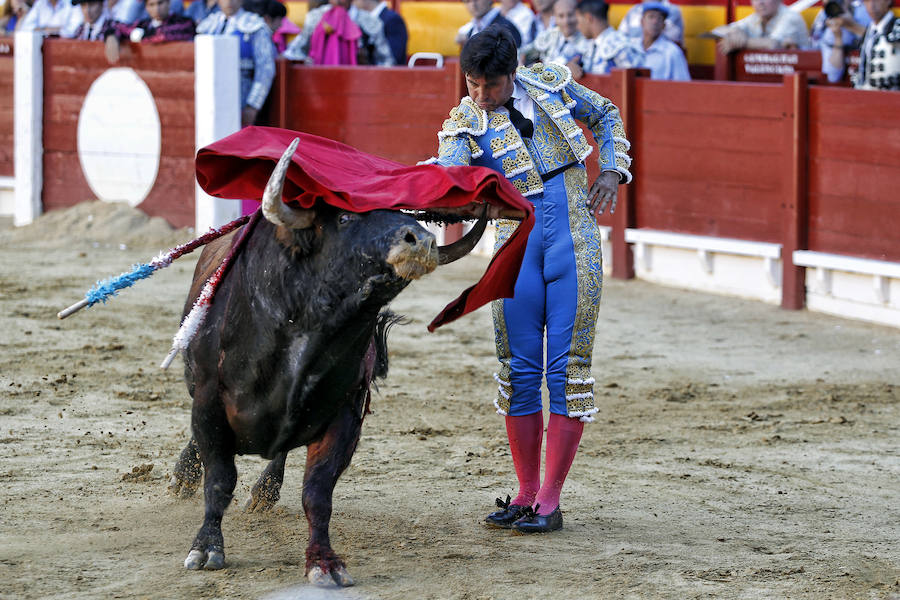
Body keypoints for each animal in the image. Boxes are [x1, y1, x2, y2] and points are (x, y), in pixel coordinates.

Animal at [161, 141, 486, 584]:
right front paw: (206, 547)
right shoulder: (210, 400)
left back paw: (264, 492)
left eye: (405, 213)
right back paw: (183, 478)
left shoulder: (345, 415)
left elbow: (317, 492)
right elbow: (219, 479)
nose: (420, 240)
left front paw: (324, 562)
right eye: (346, 216)